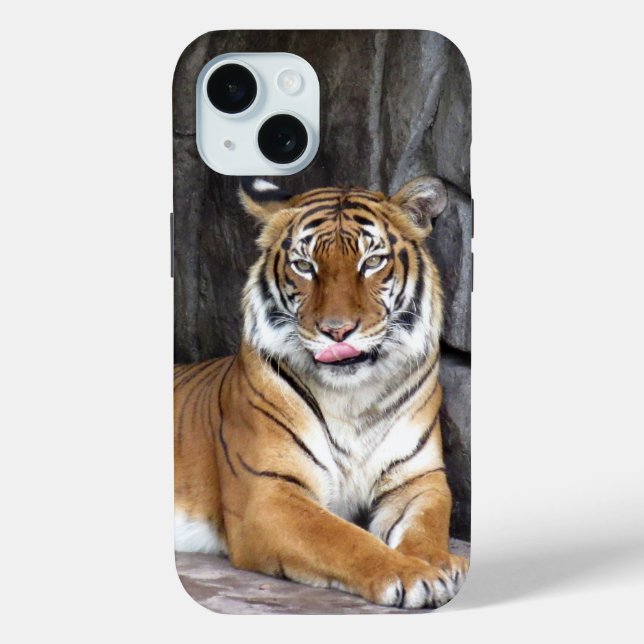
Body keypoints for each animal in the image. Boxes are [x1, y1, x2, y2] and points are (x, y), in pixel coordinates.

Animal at [174, 175, 469, 609]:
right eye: (304, 266)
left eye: (372, 262)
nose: (336, 330)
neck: (353, 397)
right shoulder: (268, 491)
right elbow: (344, 538)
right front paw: (414, 575)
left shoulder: (418, 479)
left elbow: (425, 529)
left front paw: (441, 563)